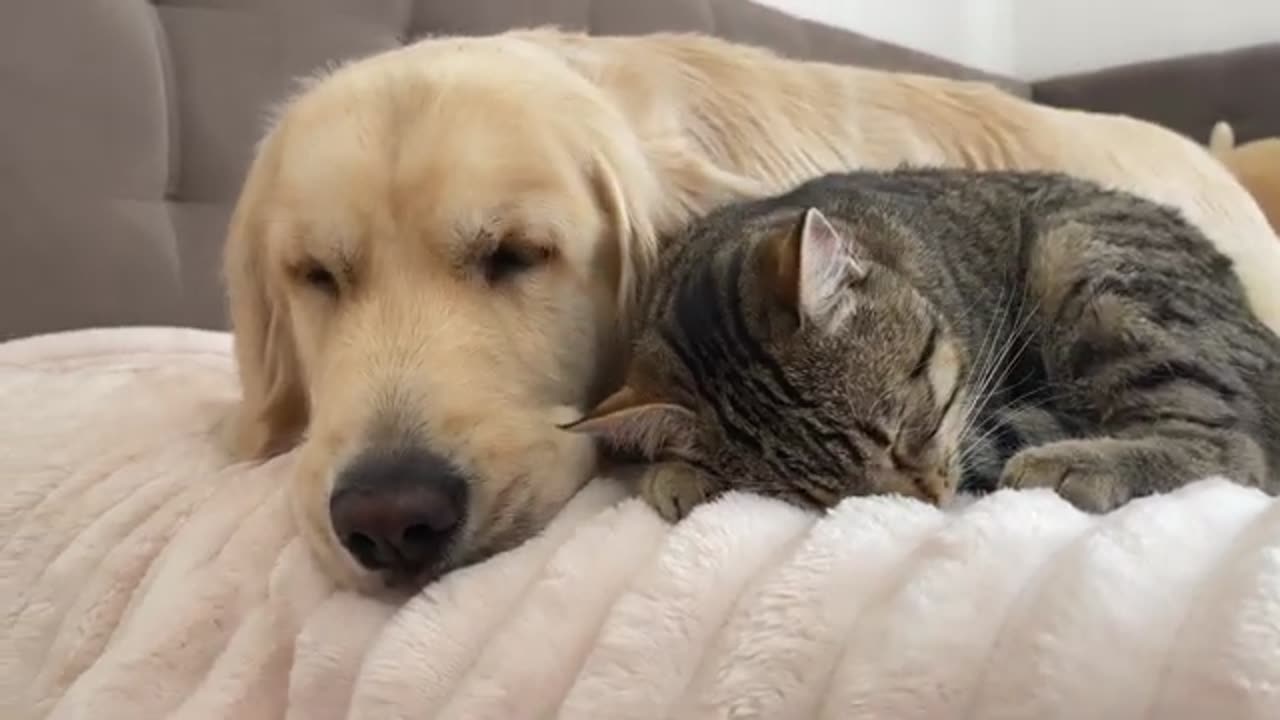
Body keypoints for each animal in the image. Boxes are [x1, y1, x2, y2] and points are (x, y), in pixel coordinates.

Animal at [565, 166, 1280, 515]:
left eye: (910, 429)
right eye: (828, 497)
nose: (929, 504)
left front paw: (673, 475)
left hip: (1086, 258)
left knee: (1236, 449)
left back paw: (1078, 464)